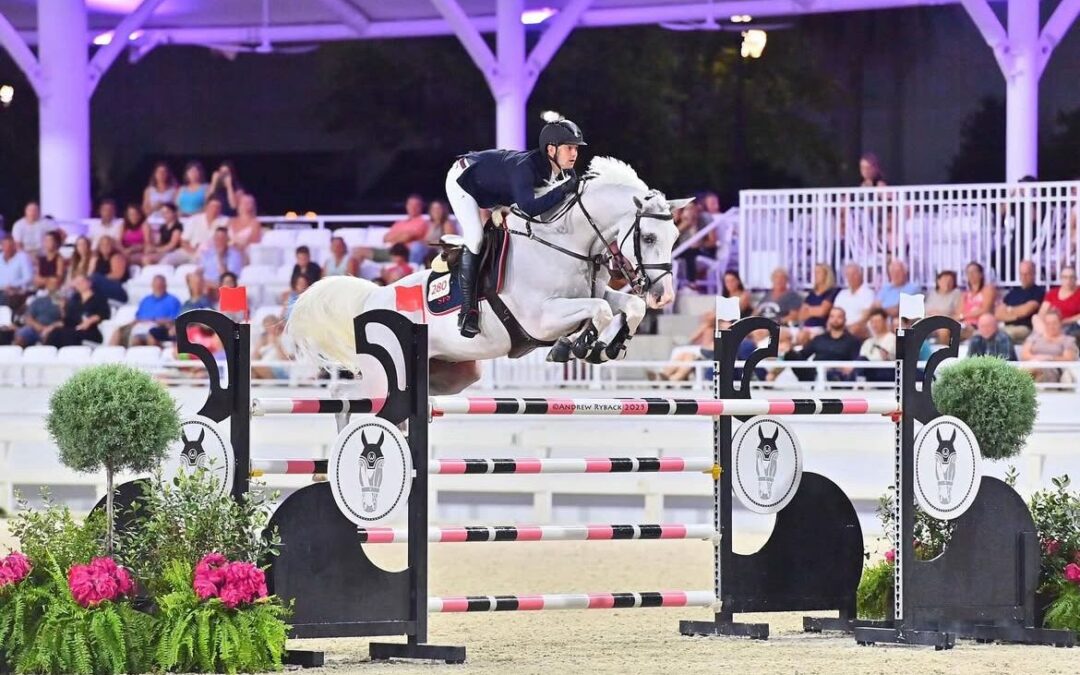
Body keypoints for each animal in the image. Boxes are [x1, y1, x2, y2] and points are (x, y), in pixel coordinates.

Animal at [286, 156, 687, 394]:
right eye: (649, 237)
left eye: (675, 237)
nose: (663, 296)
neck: (564, 242)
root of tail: (370, 299)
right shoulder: (541, 318)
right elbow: (599, 312)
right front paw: (576, 345)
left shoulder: (595, 293)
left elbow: (628, 306)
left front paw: (608, 346)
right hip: (387, 374)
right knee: (352, 398)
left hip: (447, 374)